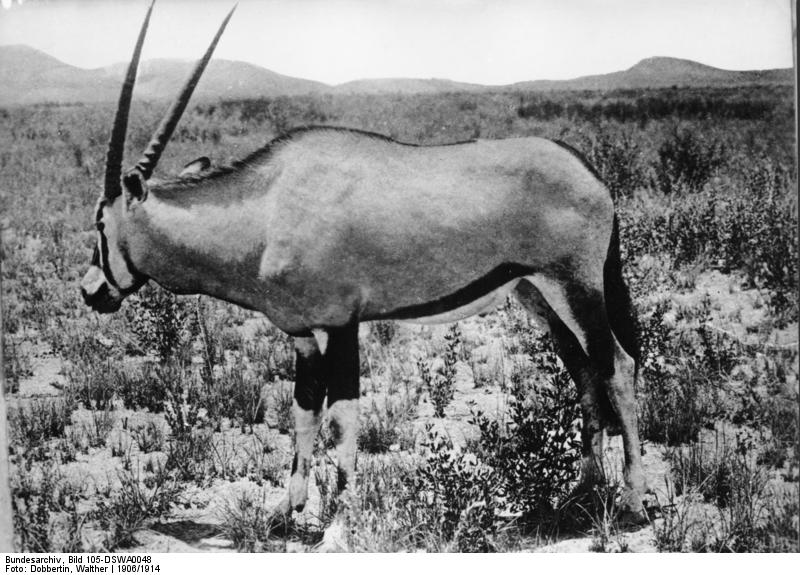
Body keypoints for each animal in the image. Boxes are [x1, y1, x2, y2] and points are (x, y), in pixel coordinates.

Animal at [81, 0, 648, 532]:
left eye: (100, 224)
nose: (90, 291)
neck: (266, 208)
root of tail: (589, 172)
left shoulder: (341, 325)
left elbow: (341, 415)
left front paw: (340, 513)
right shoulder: (304, 334)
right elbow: (304, 410)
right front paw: (288, 508)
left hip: (576, 287)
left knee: (617, 366)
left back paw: (633, 501)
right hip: (540, 295)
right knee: (585, 371)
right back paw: (582, 491)